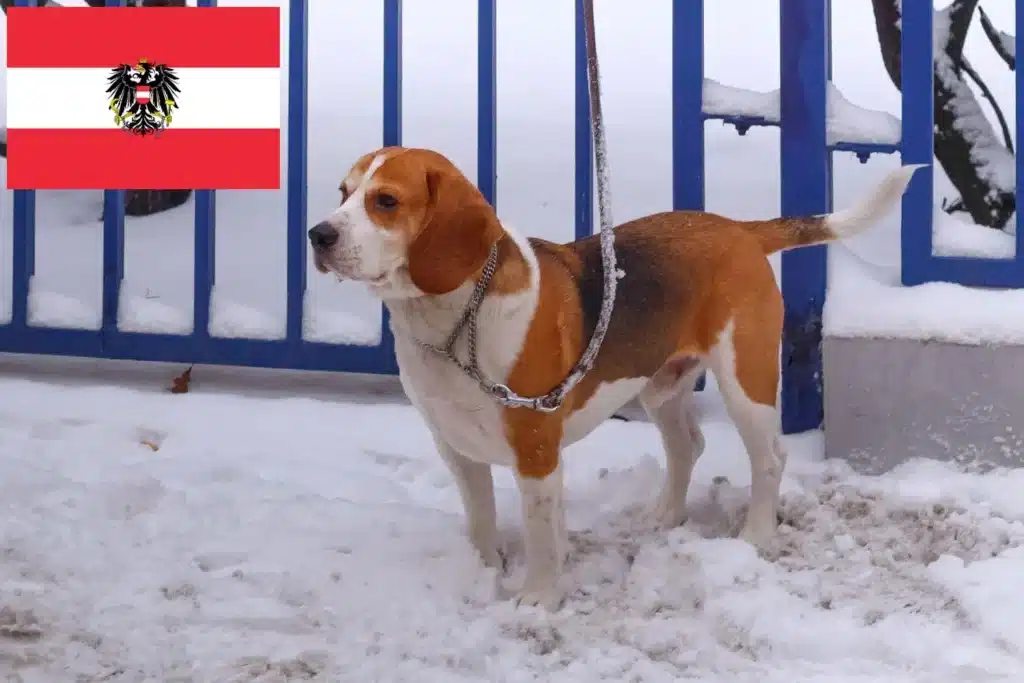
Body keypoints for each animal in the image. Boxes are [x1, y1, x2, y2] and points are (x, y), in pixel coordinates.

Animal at [307, 148, 925, 610]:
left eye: (386, 201)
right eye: (343, 193)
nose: (318, 235)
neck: (456, 320)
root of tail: (737, 229)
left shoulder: (535, 448)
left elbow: (539, 531)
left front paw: (537, 599)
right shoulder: (456, 447)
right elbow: (483, 520)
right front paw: (483, 574)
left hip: (744, 381)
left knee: (770, 458)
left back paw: (757, 536)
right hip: (661, 385)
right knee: (688, 445)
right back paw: (666, 515)